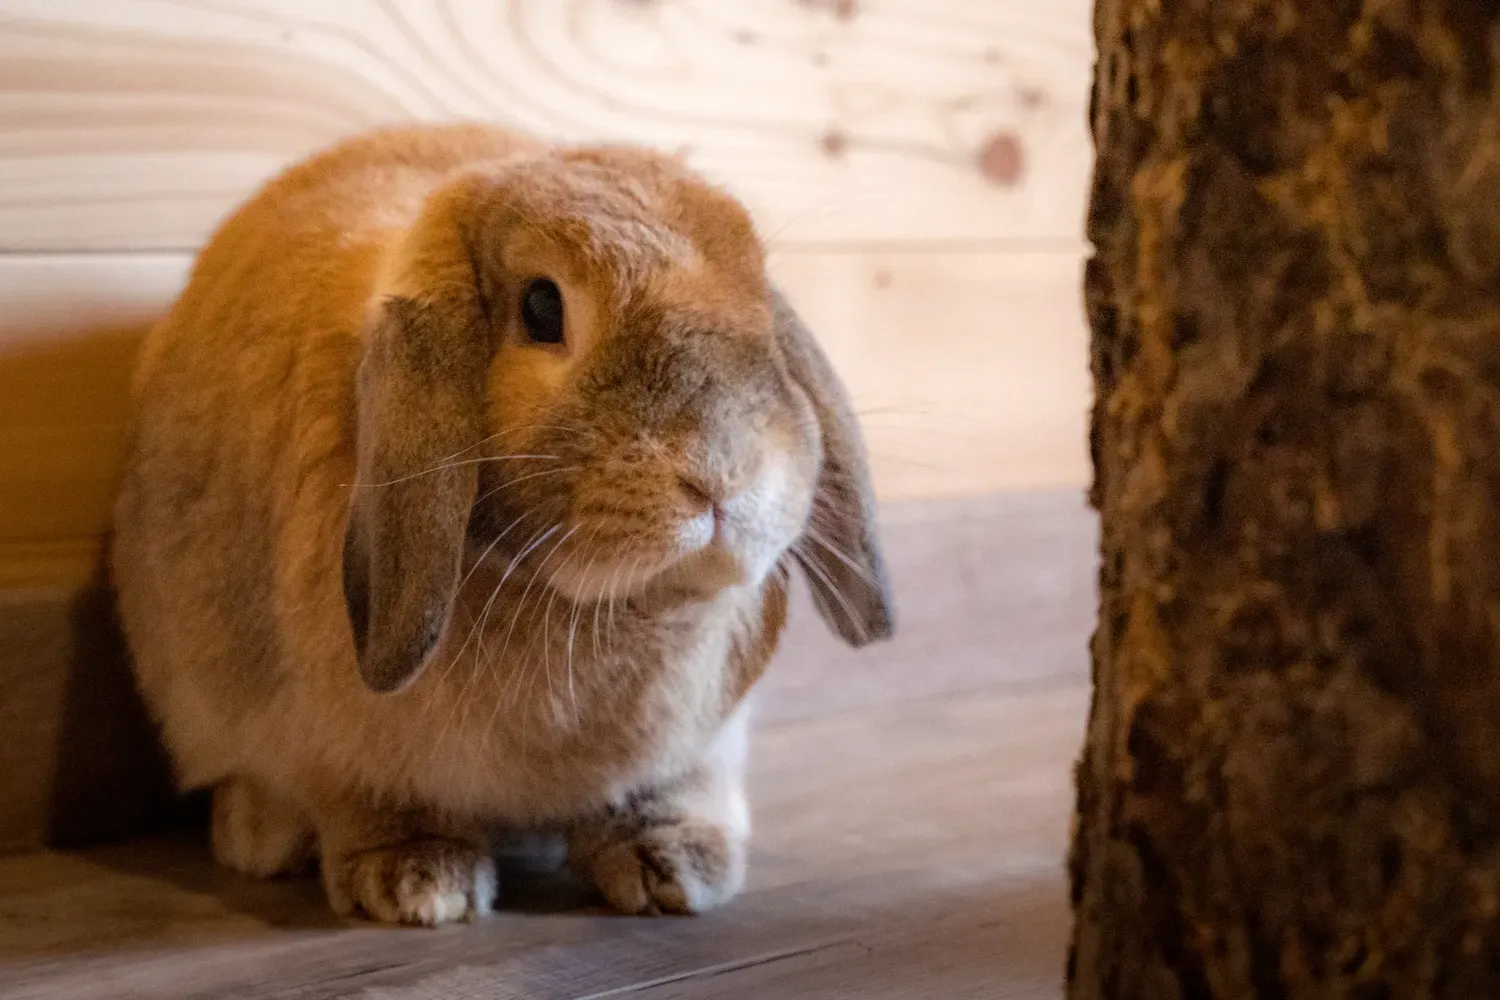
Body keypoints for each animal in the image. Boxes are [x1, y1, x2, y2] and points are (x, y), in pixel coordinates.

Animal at [111, 122, 894, 926]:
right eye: (543, 308)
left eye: (760, 302)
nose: (724, 474)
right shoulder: (342, 745)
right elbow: (374, 800)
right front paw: (418, 885)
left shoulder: (696, 745)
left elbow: (666, 790)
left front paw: (674, 866)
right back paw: (260, 838)